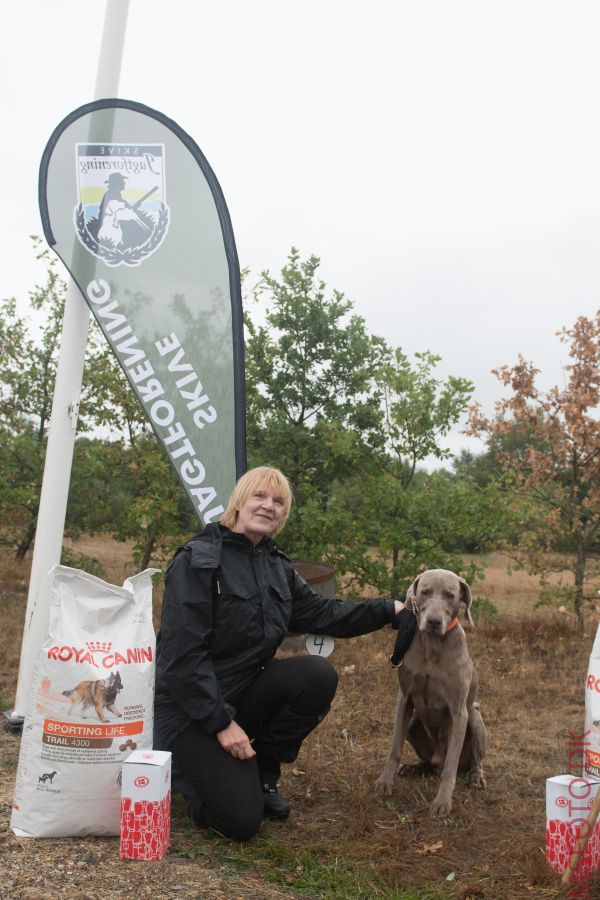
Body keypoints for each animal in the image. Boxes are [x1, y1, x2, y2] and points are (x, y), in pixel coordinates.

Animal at [376, 572, 488, 820]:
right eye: (425, 592)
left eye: (450, 595)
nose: (434, 622)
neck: (432, 646)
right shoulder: (404, 698)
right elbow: (394, 748)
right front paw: (385, 782)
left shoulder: (459, 711)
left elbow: (451, 766)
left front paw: (442, 803)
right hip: (414, 723)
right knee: (429, 762)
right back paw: (414, 767)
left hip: (475, 717)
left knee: (469, 761)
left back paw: (476, 776)